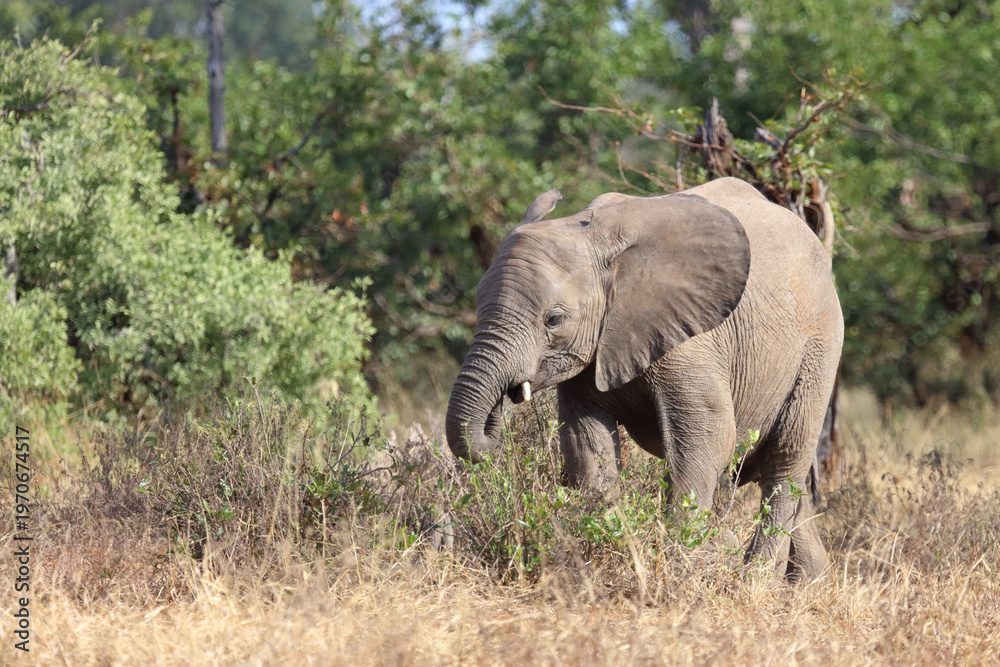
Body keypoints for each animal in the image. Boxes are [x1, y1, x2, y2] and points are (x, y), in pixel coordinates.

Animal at [445, 177, 843, 582]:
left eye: (553, 320)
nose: (504, 401)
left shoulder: (690, 336)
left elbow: (708, 436)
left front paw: (682, 567)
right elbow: (585, 443)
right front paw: (606, 552)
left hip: (819, 349)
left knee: (784, 464)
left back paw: (754, 580)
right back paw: (804, 585)